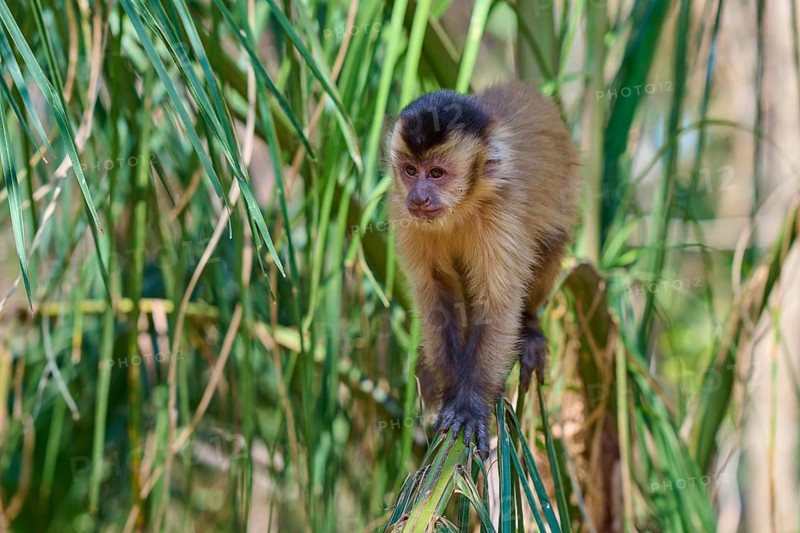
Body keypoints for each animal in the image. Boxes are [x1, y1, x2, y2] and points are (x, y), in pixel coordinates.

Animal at [386, 81, 580, 455]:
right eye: (410, 171)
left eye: (437, 173)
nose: (418, 196)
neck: (463, 208)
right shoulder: (407, 217)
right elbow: (436, 296)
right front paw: (450, 393)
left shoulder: (501, 213)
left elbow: (498, 306)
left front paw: (470, 404)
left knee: (551, 241)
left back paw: (530, 327)